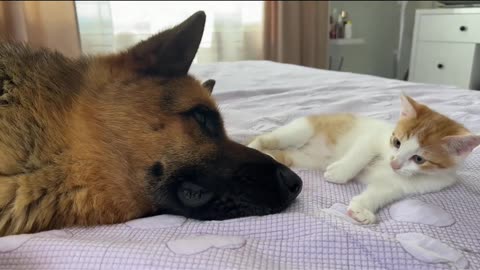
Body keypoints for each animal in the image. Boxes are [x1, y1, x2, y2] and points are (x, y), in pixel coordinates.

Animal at [248, 95, 480, 224]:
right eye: (397, 142)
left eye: (419, 159)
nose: (394, 163)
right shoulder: (374, 136)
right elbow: (361, 152)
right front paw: (340, 173)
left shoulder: (401, 185)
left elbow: (379, 193)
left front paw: (362, 210)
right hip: (302, 129)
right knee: (272, 137)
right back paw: (255, 147)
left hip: (303, 158)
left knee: (286, 156)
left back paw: (271, 157)